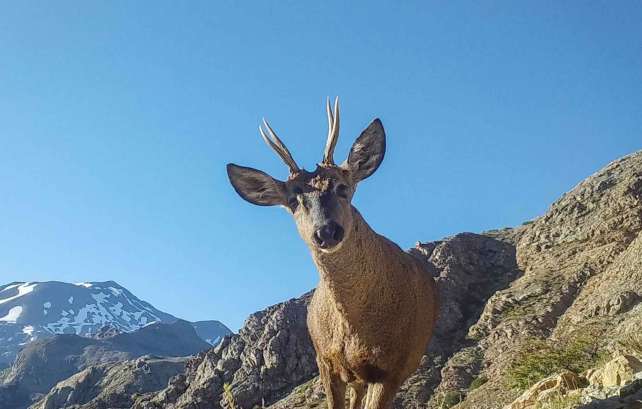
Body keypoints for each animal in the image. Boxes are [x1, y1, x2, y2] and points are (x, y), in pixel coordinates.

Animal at [226, 99, 438, 409]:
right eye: (293, 200)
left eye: (342, 187)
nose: (326, 231)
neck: (357, 330)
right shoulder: (325, 362)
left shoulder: (394, 368)